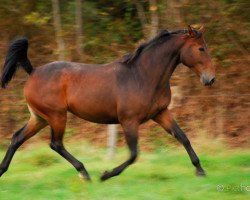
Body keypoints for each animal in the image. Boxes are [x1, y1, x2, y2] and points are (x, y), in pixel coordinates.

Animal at [0, 25, 215, 181]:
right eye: (201, 48)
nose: (210, 79)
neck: (142, 76)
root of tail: (34, 71)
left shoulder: (161, 113)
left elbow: (183, 137)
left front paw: (200, 170)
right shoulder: (129, 121)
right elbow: (133, 154)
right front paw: (106, 175)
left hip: (40, 118)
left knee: (17, 138)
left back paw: (2, 170)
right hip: (56, 116)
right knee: (56, 144)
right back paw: (84, 172)